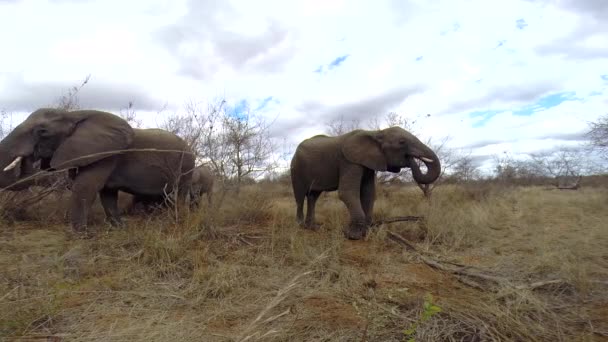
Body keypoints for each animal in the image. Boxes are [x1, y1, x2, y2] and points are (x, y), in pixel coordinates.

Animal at [0, 108, 195, 234]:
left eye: (42, 131)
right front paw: (118, 229)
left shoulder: (106, 154)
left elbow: (85, 187)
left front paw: (81, 235)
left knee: (178, 194)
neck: (74, 115)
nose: (30, 157)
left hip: (186, 167)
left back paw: (178, 220)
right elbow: (107, 194)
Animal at [290, 125, 442, 240]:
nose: (411, 158)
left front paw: (367, 232)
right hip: (296, 168)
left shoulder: (368, 164)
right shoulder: (348, 161)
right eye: (402, 142)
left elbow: (368, 194)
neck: (376, 133)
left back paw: (312, 227)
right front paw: (353, 235)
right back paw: (300, 226)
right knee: (300, 196)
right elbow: (347, 192)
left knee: (313, 196)